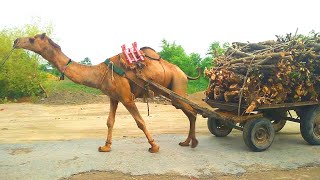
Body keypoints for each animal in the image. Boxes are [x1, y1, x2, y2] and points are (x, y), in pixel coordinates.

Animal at [13, 33, 199, 153]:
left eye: (32, 39)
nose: (15, 40)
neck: (100, 72)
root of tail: (185, 74)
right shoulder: (113, 97)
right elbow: (110, 121)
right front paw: (105, 147)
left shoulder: (126, 97)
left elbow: (140, 122)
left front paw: (154, 146)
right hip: (173, 94)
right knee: (190, 112)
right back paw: (187, 142)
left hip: (177, 86)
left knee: (193, 111)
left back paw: (192, 142)